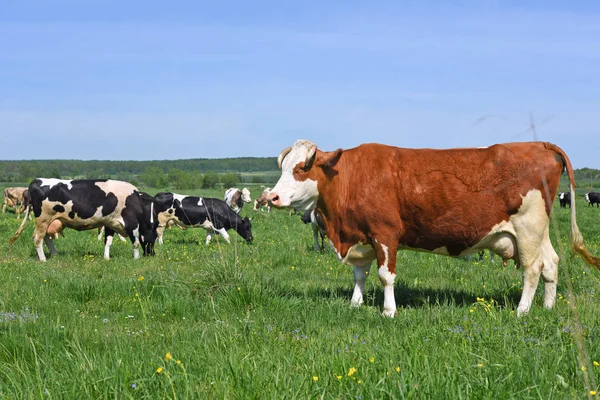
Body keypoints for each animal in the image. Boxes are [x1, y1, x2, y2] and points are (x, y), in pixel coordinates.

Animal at [8, 179, 158, 260]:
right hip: (43, 219)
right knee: (37, 238)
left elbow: (108, 242)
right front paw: (136, 258)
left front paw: (106, 258)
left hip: (49, 221)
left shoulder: (110, 223)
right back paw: (43, 259)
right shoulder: (132, 223)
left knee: (46, 237)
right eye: (155, 236)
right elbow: (136, 242)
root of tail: (36, 181)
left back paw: (55, 254)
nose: (152, 254)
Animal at [268, 139, 600, 318]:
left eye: (303, 168)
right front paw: (354, 304)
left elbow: (385, 276)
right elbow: (360, 275)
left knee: (532, 269)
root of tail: (539, 144)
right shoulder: (361, 237)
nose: (271, 197)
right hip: (538, 230)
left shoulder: (385, 234)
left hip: (528, 227)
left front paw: (389, 311)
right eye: (283, 167)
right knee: (551, 263)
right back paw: (548, 307)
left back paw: (522, 311)